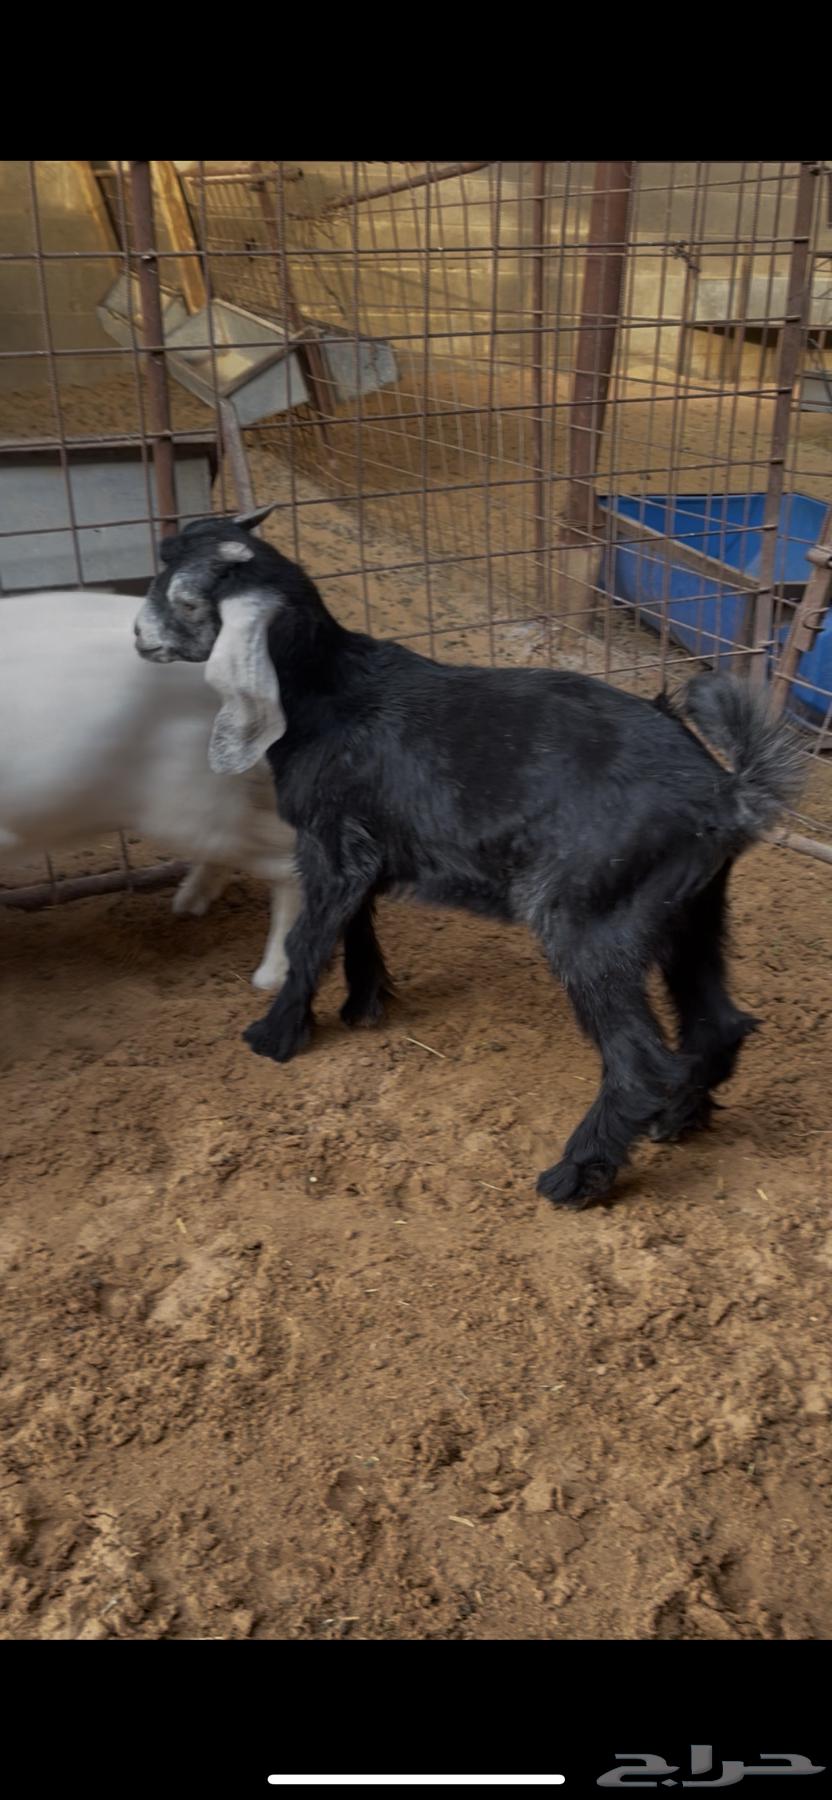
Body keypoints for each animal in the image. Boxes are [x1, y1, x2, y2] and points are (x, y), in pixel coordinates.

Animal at [134, 509, 804, 1209]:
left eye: (184, 599)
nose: (139, 637)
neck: (326, 690)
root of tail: (726, 793)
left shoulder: (331, 845)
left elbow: (310, 940)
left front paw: (275, 1036)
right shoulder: (365, 849)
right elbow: (356, 924)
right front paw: (364, 1006)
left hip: (590, 918)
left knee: (641, 1061)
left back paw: (579, 1173)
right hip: (691, 914)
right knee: (718, 1023)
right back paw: (677, 1121)